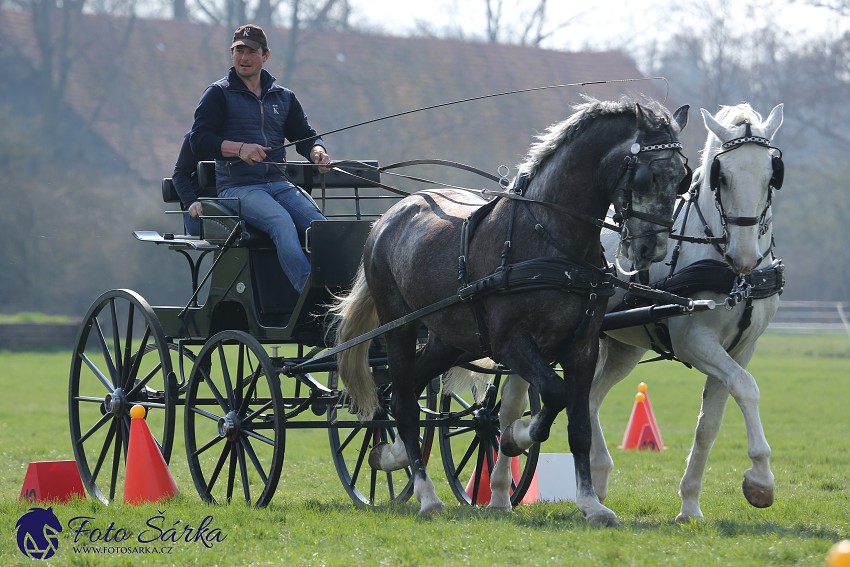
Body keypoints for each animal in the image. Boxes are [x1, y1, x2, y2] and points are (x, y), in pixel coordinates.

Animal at [448, 102, 784, 520]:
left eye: (772, 175)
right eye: (720, 177)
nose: (745, 257)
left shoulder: (741, 348)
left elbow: (712, 422)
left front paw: (691, 504)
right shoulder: (694, 342)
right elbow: (747, 387)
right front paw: (761, 480)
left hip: (620, 347)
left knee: (587, 399)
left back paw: (596, 481)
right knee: (510, 407)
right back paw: (498, 490)